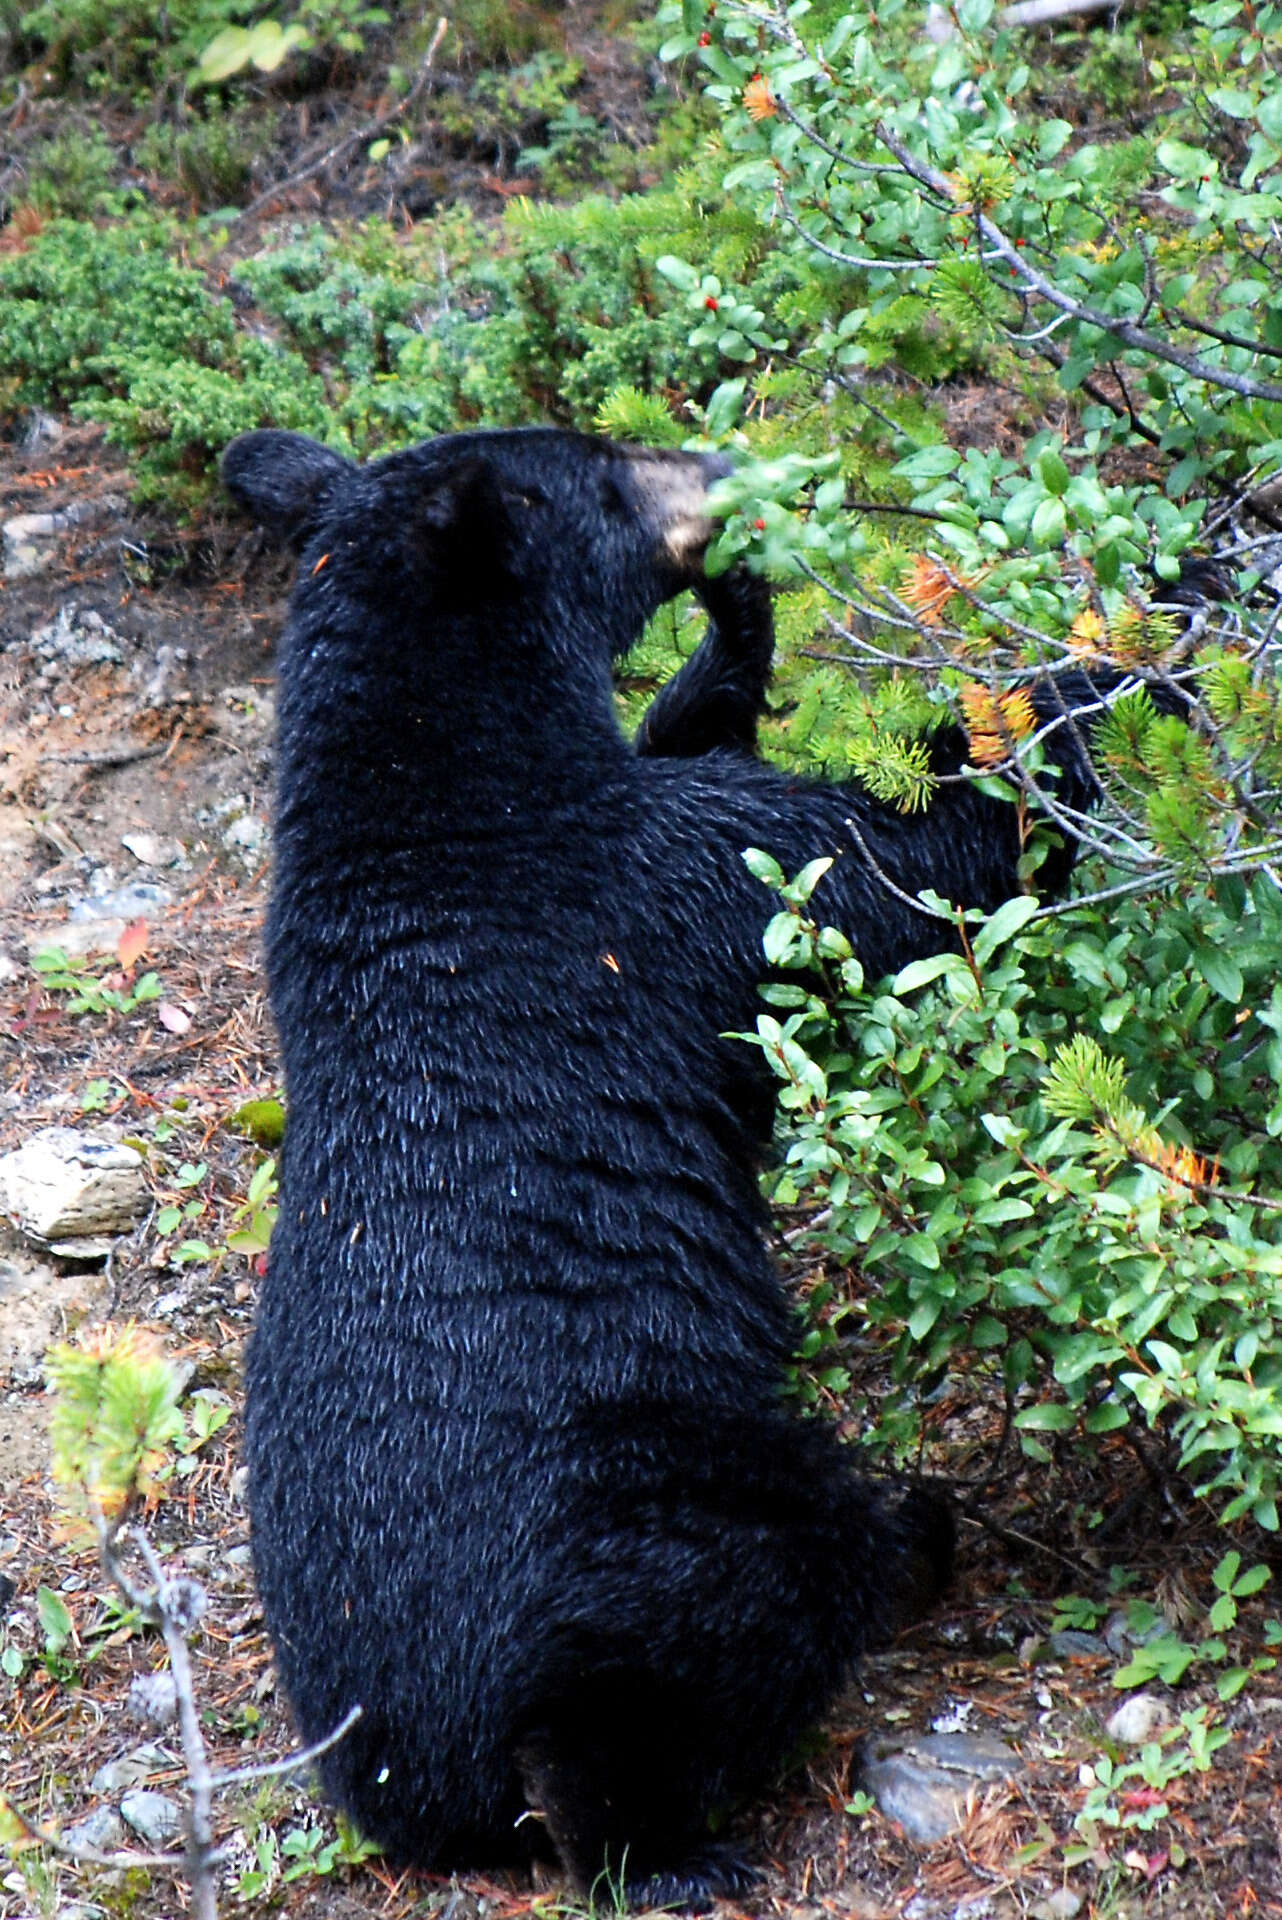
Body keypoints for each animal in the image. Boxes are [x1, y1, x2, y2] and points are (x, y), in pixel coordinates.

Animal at [222, 428, 1105, 1912]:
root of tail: (439, 1773)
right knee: (735, 1605)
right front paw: (1102, 675)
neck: (426, 795)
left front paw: (740, 625)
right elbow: (869, 864)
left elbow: (709, 748)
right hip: (660, 1495)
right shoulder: (635, 888)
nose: (718, 465)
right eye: (607, 468)